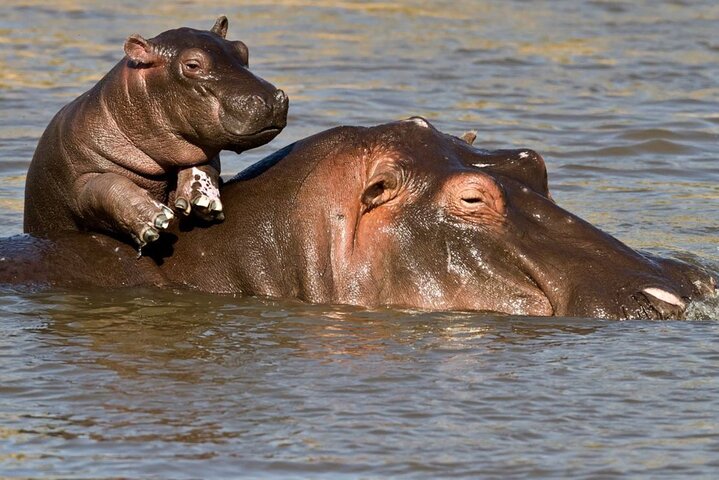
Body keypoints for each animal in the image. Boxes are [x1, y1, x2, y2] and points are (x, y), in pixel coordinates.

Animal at [23, 16, 288, 247]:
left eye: (243, 49)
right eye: (192, 64)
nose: (270, 99)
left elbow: (203, 163)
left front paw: (202, 198)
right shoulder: (78, 182)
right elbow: (105, 185)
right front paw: (154, 217)